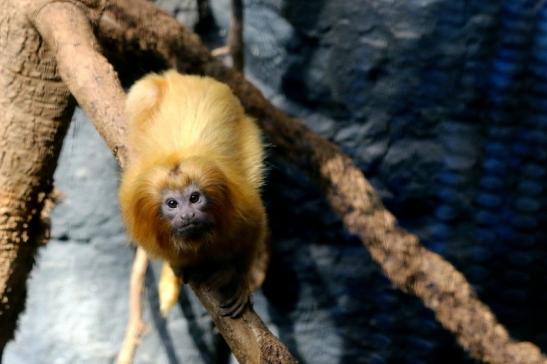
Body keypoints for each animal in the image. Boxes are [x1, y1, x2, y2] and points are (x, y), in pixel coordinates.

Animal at [119, 69, 268, 318]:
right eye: (172, 203)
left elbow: (254, 231)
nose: (187, 215)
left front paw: (238, 278)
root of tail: (182, 77)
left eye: (194, 198)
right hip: (144, 93)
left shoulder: (242, 207)